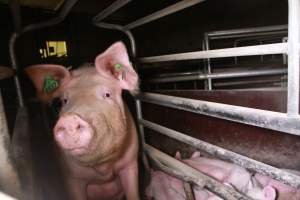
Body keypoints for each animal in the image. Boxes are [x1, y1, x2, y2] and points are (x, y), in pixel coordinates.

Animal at [25, 41, 139, 199]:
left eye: (107, 94)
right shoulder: (71, 176)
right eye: (64, 100)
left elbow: (133, 192)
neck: (104, 171)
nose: (69, 119)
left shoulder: (131, 162)